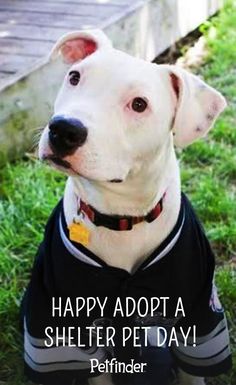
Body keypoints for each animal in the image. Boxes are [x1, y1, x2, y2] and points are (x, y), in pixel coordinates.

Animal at [21, 28, 231, 382]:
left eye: (139, 104)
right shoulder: (70, 325)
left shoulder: (200, 317)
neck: (122, 218)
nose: (64, 128)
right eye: (75, 77)